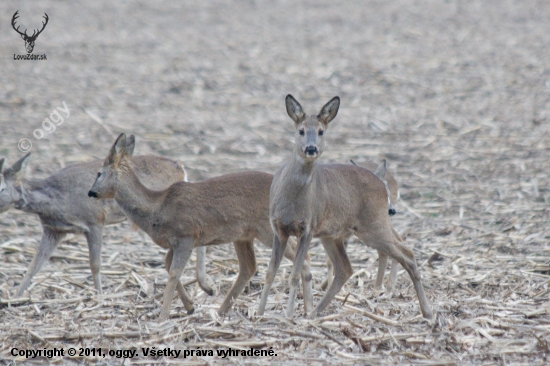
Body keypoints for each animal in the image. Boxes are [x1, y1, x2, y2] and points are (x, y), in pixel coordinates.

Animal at [0, 152, 216, 300]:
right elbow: (34, 265)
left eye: (1, 188)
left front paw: (101, 296)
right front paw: (15, 297)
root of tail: (181, 168)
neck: (56, 201)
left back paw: (206, 285)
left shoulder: (95, 220)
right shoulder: (53, 230)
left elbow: (95, 264)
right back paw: (205, 285)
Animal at [90, 134, 314, 320]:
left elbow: (174, 272)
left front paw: (163, 316)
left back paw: (306, 309)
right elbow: (167, 264)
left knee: (301, 257)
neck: (157, 207)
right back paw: (222, 310)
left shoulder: (187, 235)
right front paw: (190, 306)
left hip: (268, 229)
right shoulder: (175, 242)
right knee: (249, 266)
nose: (91, 193)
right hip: (243, 235)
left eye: (99, 173)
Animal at [258, 95, 436, 320]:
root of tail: (381, 183)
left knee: (407, 253)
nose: (310, 149)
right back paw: (314, 312)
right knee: (346, 268)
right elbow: (270, 272)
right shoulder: (278, 228)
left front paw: (288, 315)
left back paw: (427, 312)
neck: (292, 201)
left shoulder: (308, 228)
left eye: (321, 131)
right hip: (332, 235)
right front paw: (259, 313)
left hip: (372, 224)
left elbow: (295, 274)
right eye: (300, 130)